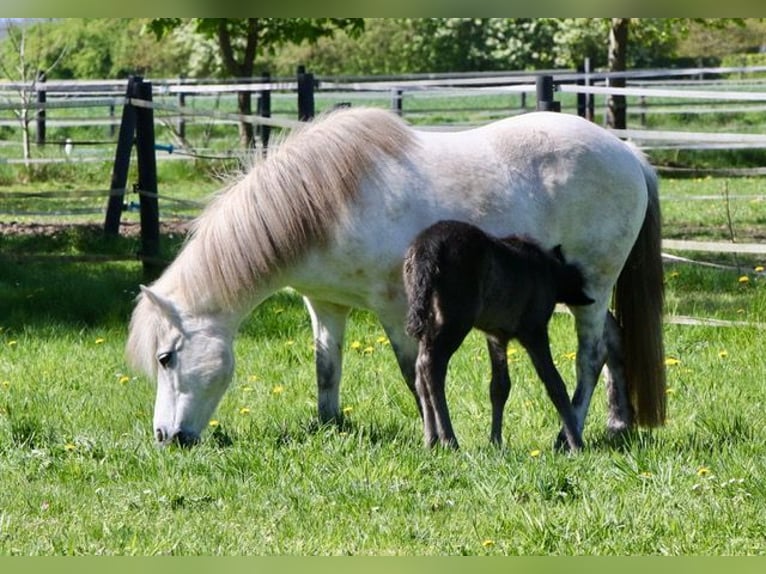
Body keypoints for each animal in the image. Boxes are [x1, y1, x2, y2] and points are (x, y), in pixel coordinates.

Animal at [126, 108, 664, 450]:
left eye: (166, 357)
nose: (166, 438)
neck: (326, 205)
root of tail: (627, 154)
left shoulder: (395, 309)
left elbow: (415, 374)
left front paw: (437, 438)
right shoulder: (325, 305)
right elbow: (327, 370)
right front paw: (330, 428)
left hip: (592, 287)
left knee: (590, 356)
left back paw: (568, 434)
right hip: (586, 294)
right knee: (615, 341)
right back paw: (618, 425)